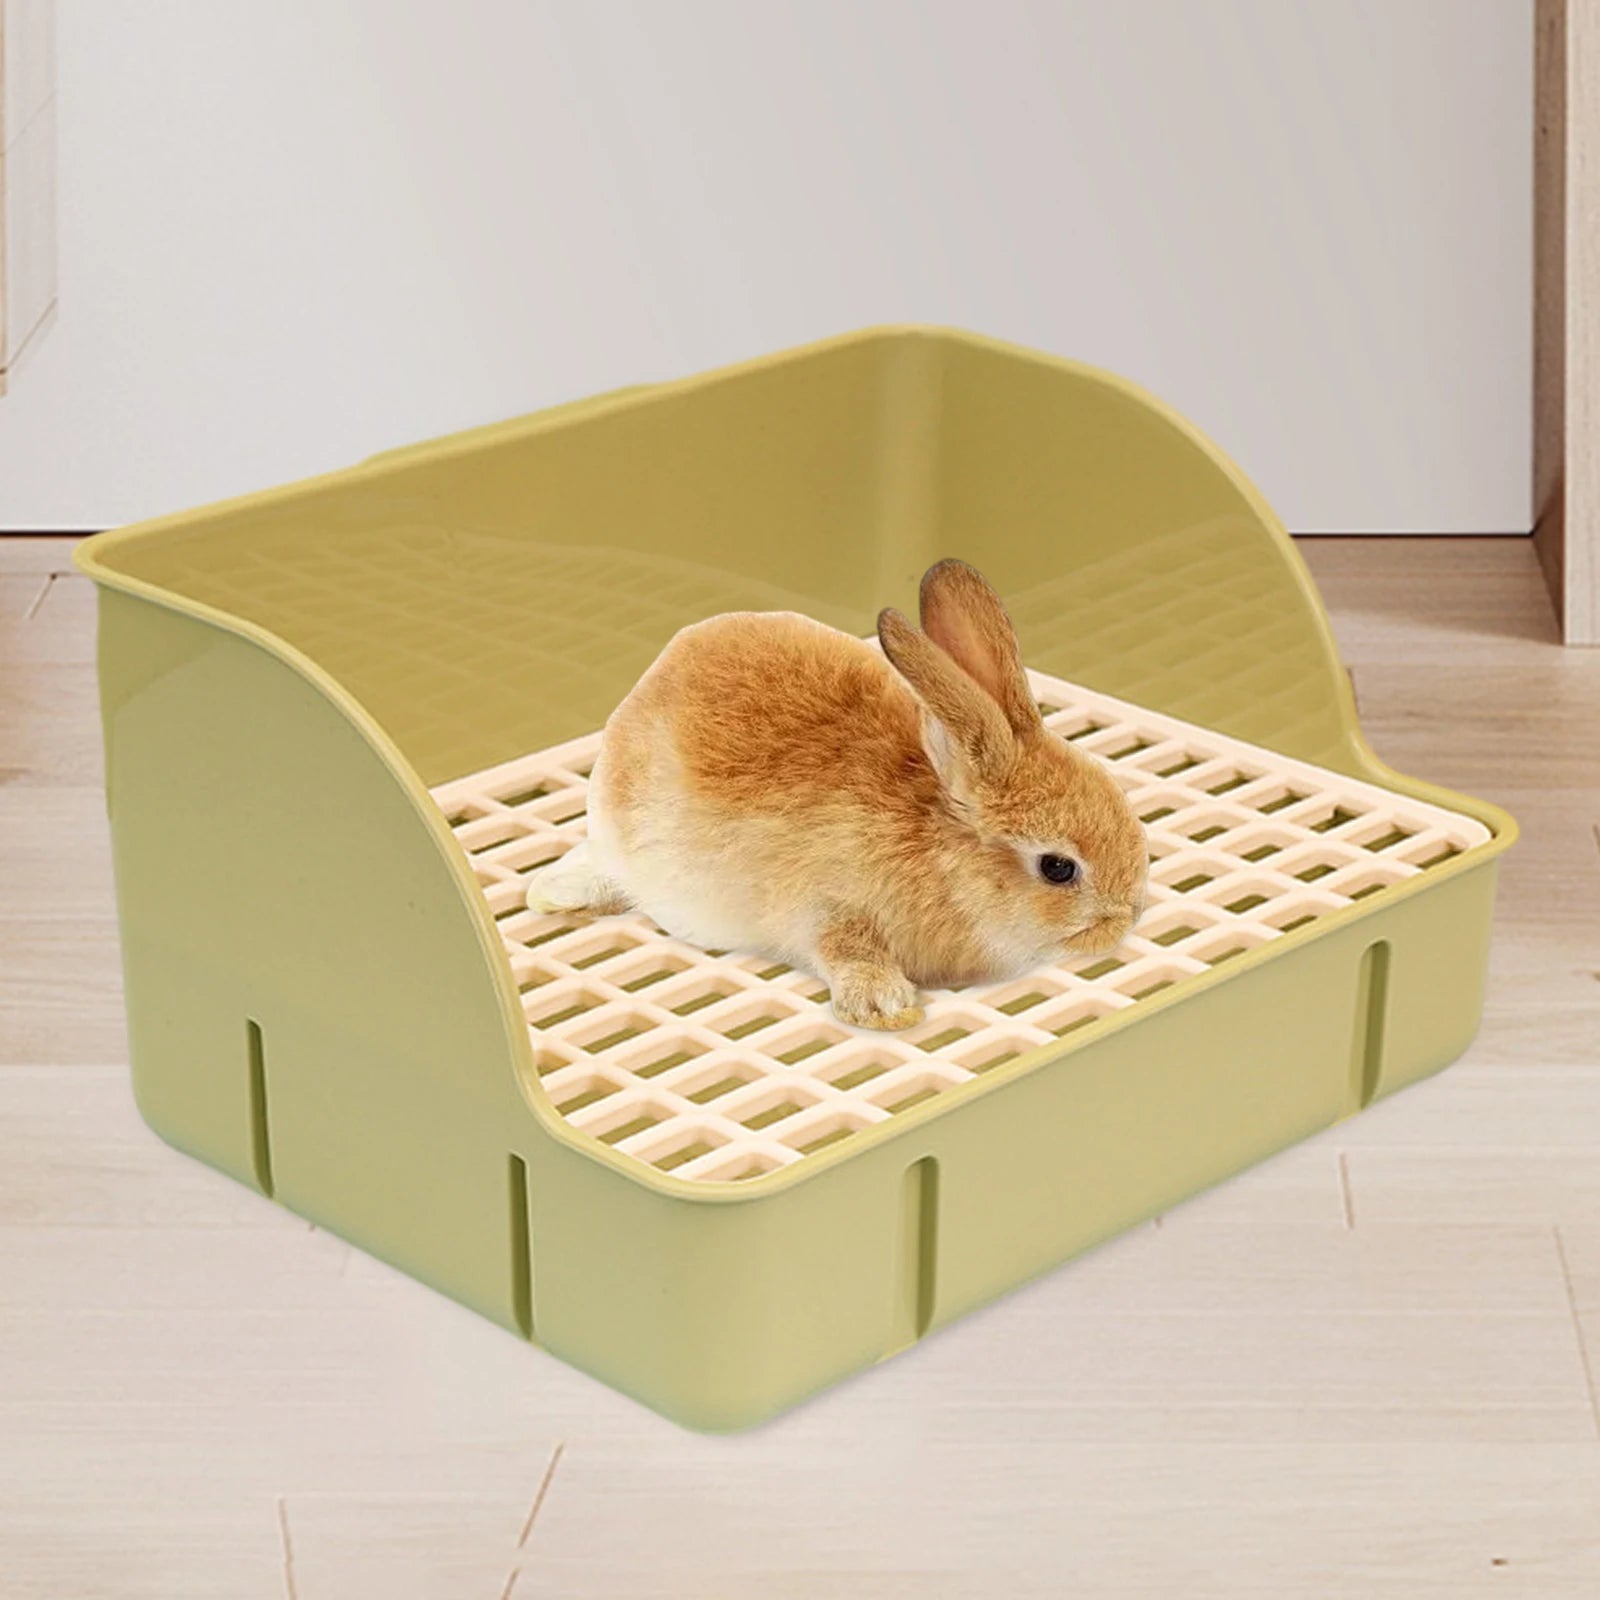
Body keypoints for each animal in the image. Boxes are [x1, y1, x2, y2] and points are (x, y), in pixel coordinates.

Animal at [526, 559, 1148, 1031]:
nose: (1125, 916)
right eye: (1058, 868)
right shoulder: (826, 907)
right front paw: (885, 1007)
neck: (940, 849)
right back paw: (554, 893)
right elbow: (846, 948)